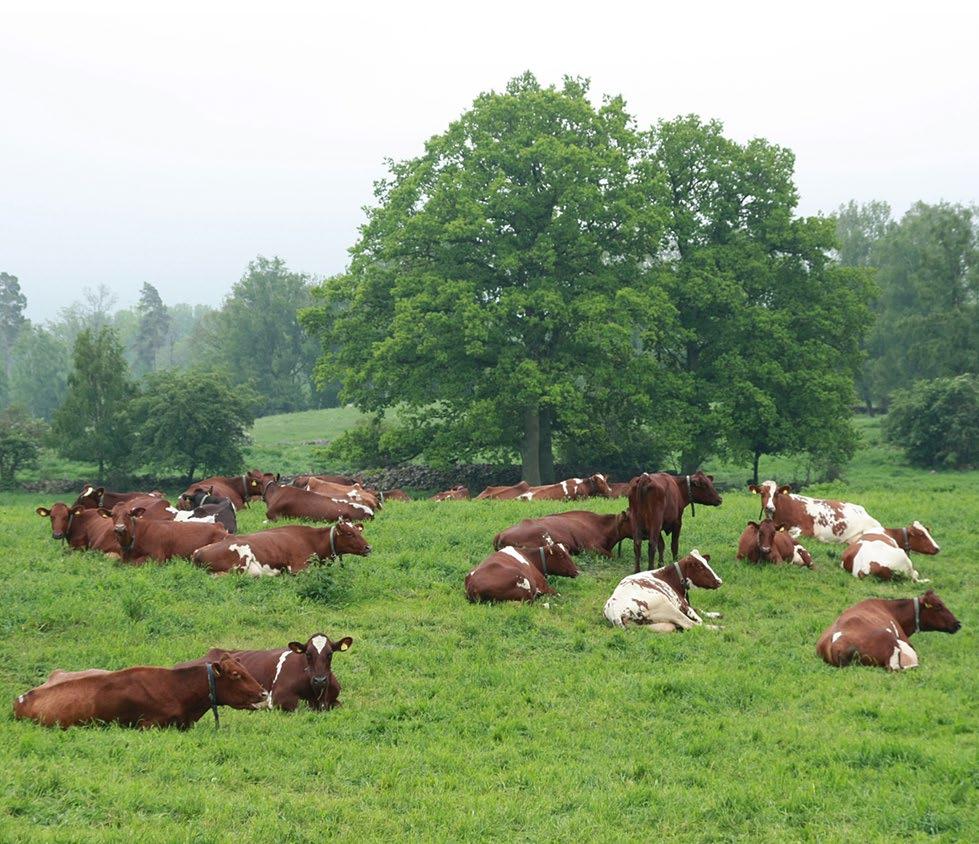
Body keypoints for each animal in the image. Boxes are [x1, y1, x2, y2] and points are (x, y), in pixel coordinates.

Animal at [191, 524, 372, 576]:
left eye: (359, 531)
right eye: (350, 533)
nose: (368, 547)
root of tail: (197, 552)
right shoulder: (299, 568)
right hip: (242, 562)